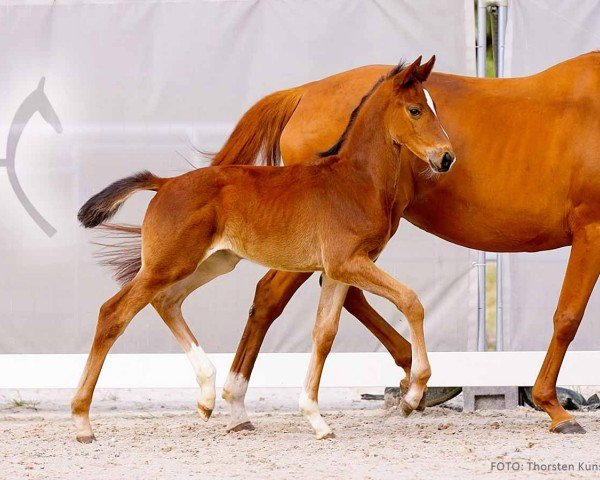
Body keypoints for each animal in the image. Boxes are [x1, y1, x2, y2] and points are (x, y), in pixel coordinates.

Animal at [72, 56, 452, 442]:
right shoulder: (348, 263)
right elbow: (411, 301)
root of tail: (164, 184)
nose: (446, 158)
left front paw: (316, 419)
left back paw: (207, 397)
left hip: (212, 262)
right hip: (166, 265)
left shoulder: (338, 271)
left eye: (434, 107)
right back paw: (82, 421)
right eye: (415, 110)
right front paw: (413, 395)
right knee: (113, 313)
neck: (355, 181)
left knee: (166, 300)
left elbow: (324, 334)